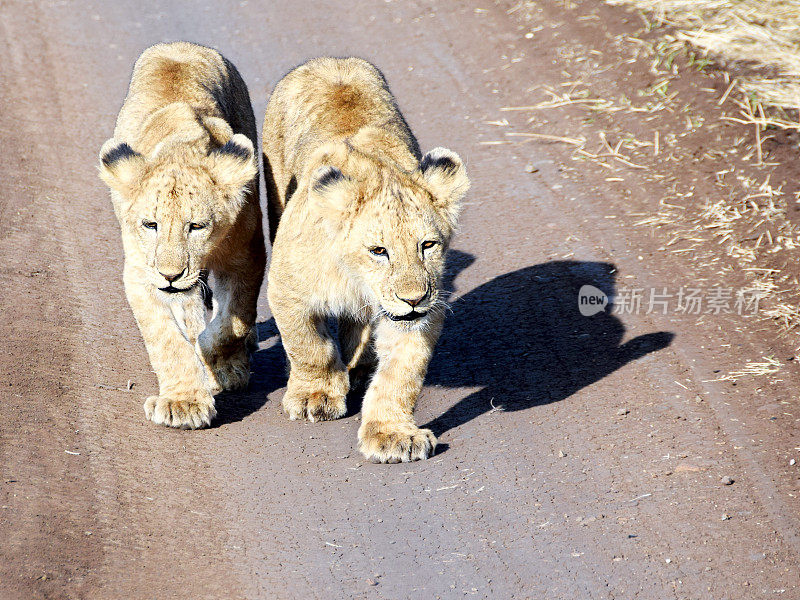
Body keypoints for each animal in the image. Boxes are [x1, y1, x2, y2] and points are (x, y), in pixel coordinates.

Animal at [100, 42, 266, 428]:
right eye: (150, 225)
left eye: (197, 226)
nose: (171, 276)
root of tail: (180, 46)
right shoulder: (141, 272)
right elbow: (165, 338)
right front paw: (185, 402)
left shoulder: (247, 254)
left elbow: (233, 322)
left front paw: (219, 364)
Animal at [264, 56, 468, 462]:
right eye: (378, 251)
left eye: (428, 245)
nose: (413, 299)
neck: (357, 279)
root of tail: (330, 59)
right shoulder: (286, 289)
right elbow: (308, 346)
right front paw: (315, 395)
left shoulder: (424, 315)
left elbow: (401, 376)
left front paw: (391, 434)